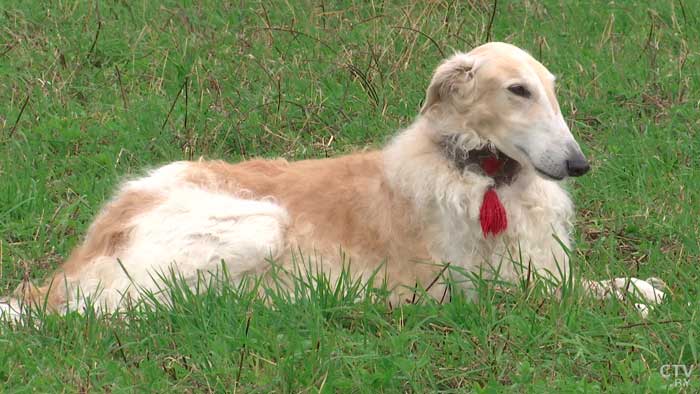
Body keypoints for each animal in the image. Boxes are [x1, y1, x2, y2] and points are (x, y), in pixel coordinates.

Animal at [0, 43, 664, 320]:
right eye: (517, 90)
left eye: (550, 88)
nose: (578, 165)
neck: (477, 175)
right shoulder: (482, 285)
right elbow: (586, 293)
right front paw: (638, 295)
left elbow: (610, 282)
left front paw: (640, 284)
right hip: (257, 223)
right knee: (111, 312)